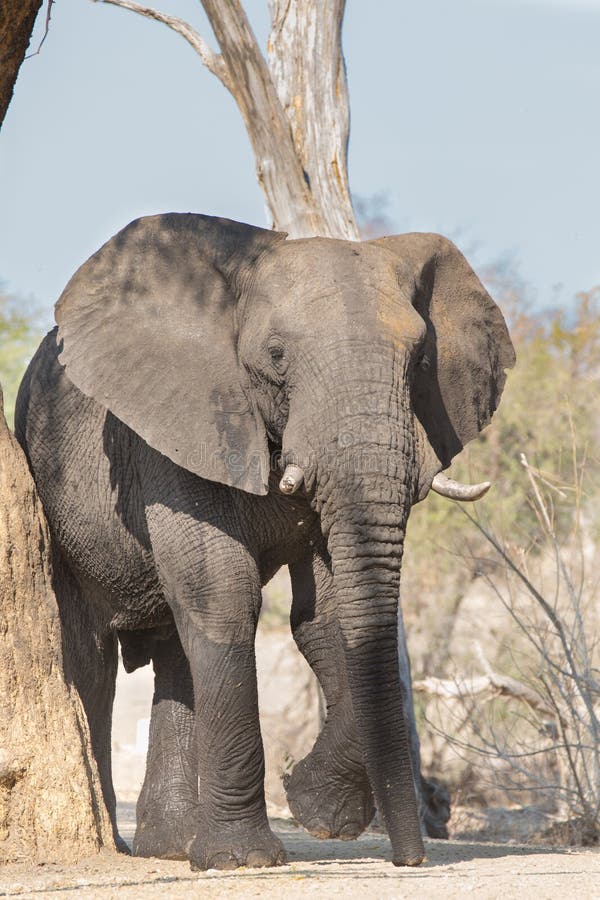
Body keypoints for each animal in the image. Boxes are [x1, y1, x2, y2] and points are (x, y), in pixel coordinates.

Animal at [15, 212, 515, 870]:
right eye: (276, 357)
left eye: (420, 360)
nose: (409, 859)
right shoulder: (177, 429)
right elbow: (226, 596)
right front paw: (244, 858)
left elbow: (326, 616)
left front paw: (316, 810)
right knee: (92, 661)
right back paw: (126, 846)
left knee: (176, 651)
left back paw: (172, 848)